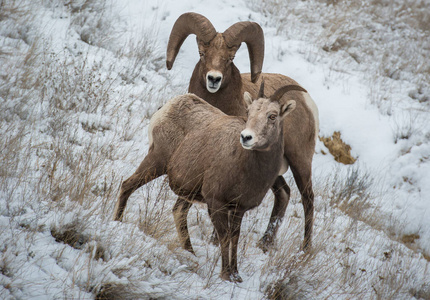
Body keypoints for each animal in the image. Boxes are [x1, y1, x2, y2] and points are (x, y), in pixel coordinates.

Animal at [112, 84, 304, 282]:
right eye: (249, 112)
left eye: (272, 116)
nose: (246, 137)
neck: (246, 166)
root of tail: (168, 106)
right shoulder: (216, 203)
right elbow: (224, 237)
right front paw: (225, 274)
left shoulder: (239, 209)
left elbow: (235, 237)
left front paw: (236, 275)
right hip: (156, 163)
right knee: (127, 185)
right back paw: (117, 222)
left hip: (185, 189)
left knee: (178, 212)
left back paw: (190, 252)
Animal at [165, 12, 320, 251]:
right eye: (202, 53)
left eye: (230, 58)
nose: (214, 79)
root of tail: (306, 100)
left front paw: (214, 241)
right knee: (284, 193)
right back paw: (265, 243)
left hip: (300, 162)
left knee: (308, 199)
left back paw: (304, 249)